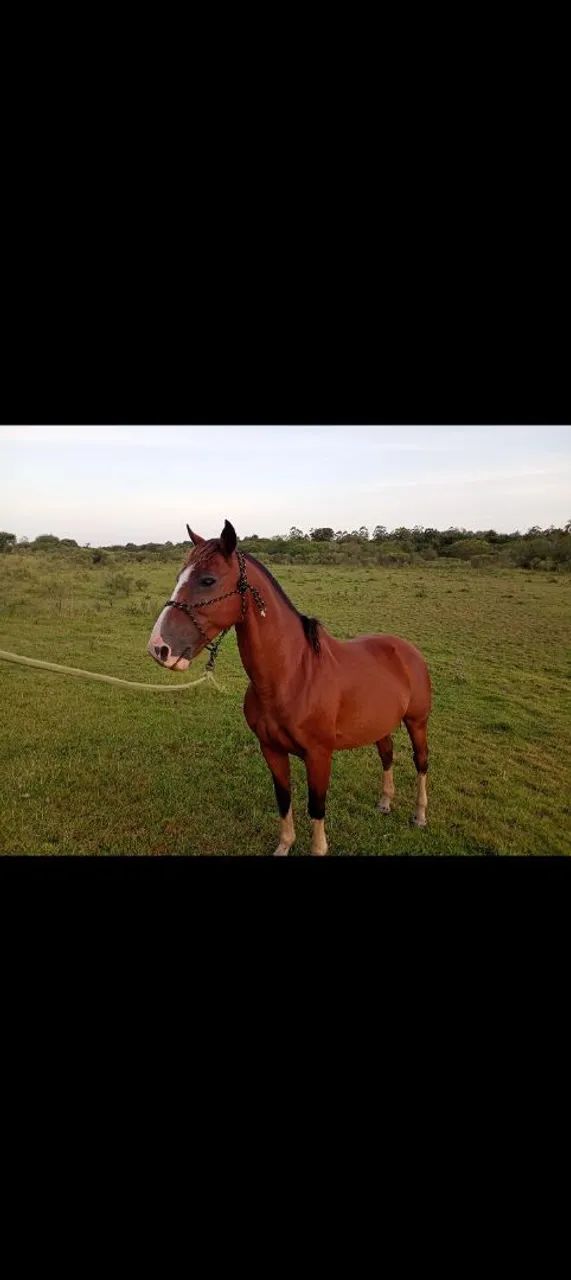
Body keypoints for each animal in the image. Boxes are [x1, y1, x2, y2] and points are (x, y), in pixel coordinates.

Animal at [148, 520, 432, 855]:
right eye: (179, 577)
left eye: (208, 580)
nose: (159, 648)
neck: (292, 677)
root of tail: (406, 649)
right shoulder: (271, 750)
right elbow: (284, 799)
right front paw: (284, 845)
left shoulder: (319, 756)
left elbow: (316, 806)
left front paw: (317, 848)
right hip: (380, 724)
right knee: (387, 755)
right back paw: (385, 802)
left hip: (417, 723)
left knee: (421, 762)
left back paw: (419, 815)